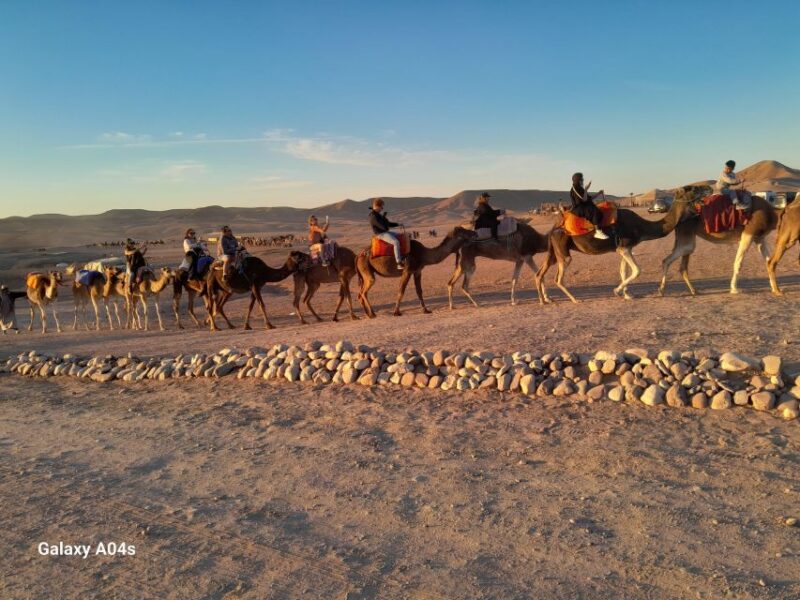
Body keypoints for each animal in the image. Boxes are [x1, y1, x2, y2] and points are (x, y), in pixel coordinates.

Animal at [535, 195, 692, 303]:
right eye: (694, 191)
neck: (640, 226)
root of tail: (554, 228)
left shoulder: (624, 248)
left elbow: (624, 271)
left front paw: (627, 295)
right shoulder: (624, 247)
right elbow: (637, 270)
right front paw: (617, 291)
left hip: (554, 252)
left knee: (540, 273)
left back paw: (545, 299)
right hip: (563, 252)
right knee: (558, 278)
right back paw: (574, 300)